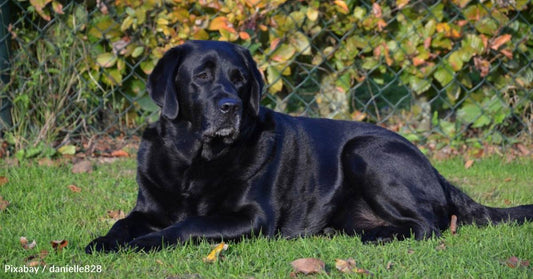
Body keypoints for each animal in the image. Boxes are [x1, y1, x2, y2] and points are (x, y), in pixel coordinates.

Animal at [85, 41, 528, 254]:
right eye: (202, 76)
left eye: (239, 78)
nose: (230, 107)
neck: (193, 161)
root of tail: (433, 167)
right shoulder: (146, 209)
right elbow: (122, 223)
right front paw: (104, 242)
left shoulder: (252, 218)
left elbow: (186, 226)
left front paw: (142, 245)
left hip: (364, 150)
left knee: (428, 225)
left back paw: (378, 238)